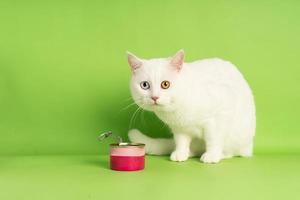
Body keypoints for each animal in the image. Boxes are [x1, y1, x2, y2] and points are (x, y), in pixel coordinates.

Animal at [126, 49, 255, 162]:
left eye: (165, 84)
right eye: (144, 85)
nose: (154, 97)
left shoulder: (217, 119)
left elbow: (213, 139)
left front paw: (212, 155)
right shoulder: (179, 129)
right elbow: (181, 142)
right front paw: (181, 153)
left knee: (231, 152)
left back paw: (220, 155)